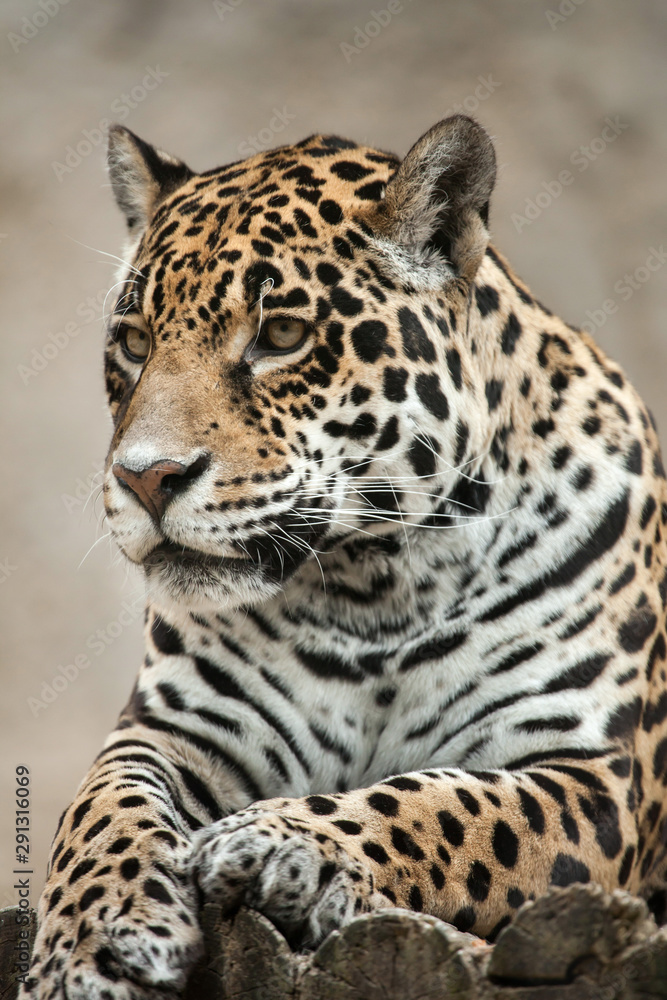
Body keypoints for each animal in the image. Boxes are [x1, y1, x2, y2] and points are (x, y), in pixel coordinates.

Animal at [22, 114, 667, 1000]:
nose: (146, 478)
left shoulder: (593, 774)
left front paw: (283, 843)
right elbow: (101, 806)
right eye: (132, 341)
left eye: (281, 335)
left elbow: (444, 806)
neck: (372, 586)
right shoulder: (175, 727)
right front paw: (88, 942)